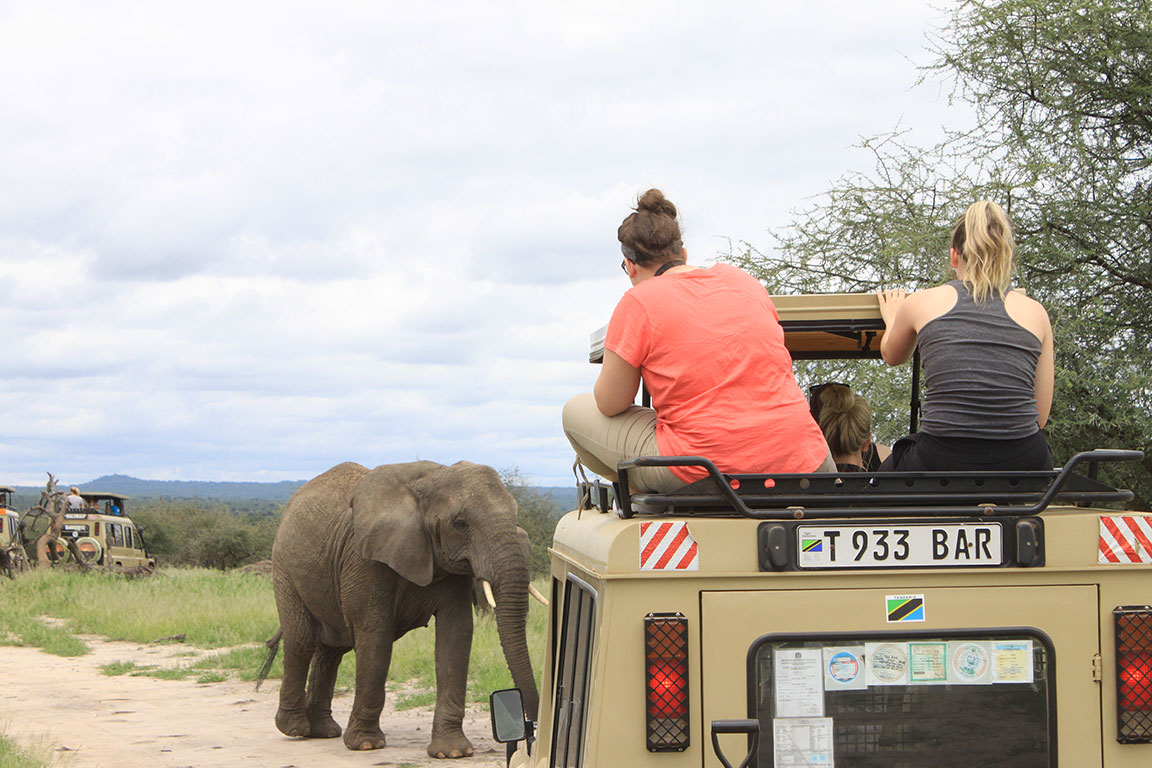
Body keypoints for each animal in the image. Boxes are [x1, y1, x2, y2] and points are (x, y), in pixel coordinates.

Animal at [270, 460, 540, 757]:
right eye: (460, 524)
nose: (531, 728)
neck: (430, 479)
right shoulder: (364, 557)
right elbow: (375, 636)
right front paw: (366, 744)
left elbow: (456, 635)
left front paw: (453, 752)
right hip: (284, 567)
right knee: (301, 639)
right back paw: (294, 728)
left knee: (331, 649)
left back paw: (323, 731)